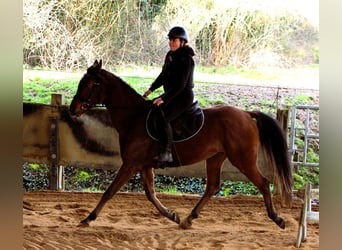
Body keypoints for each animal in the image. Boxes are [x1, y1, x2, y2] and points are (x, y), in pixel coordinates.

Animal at [70, 60, 294, 230]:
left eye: (90, 84)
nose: (73, 109)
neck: (134, 118)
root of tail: (247, 114)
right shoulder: (144, 165)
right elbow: (150, 194)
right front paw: (172, 215)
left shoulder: (130, 164)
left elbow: (110, 191)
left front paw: (88, 218)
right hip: (216, 157)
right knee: (212, 186)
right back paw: (188, 219)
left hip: (243, 159)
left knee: (263, 183)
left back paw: (277, 218)